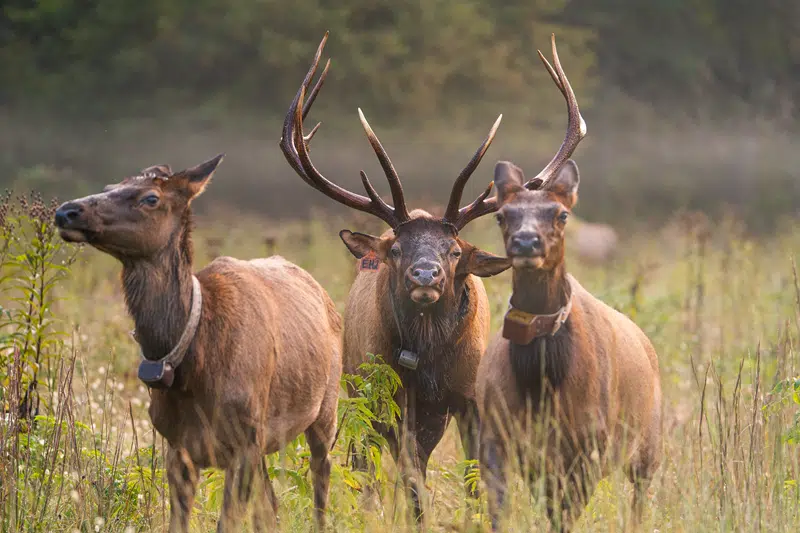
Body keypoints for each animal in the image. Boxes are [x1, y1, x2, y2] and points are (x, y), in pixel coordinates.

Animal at [54, 156, 342, 532]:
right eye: (109, 187)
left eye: (150, 198)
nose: (66, 211)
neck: (194, 362)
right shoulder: (178, 445)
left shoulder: (244, 440)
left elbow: (228, 523)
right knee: (270, 506)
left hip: (326, 406)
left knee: (321, 478)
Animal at [279, 33, 511, 522]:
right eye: (397, 250)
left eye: (455, 251)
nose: (426, 274)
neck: (430, 362)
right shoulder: (394, 398)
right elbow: (408, 480)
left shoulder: (470, 396)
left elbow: (475, 478)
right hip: (357, 392)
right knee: (366, 467)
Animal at [476, 35, 662, 532]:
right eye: (502, 215)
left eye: (560, 214)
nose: (525, 241)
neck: (543, 388)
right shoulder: (495, 437)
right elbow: (498, 511)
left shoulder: (586, 446)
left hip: (649, 443)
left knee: (641, 499)